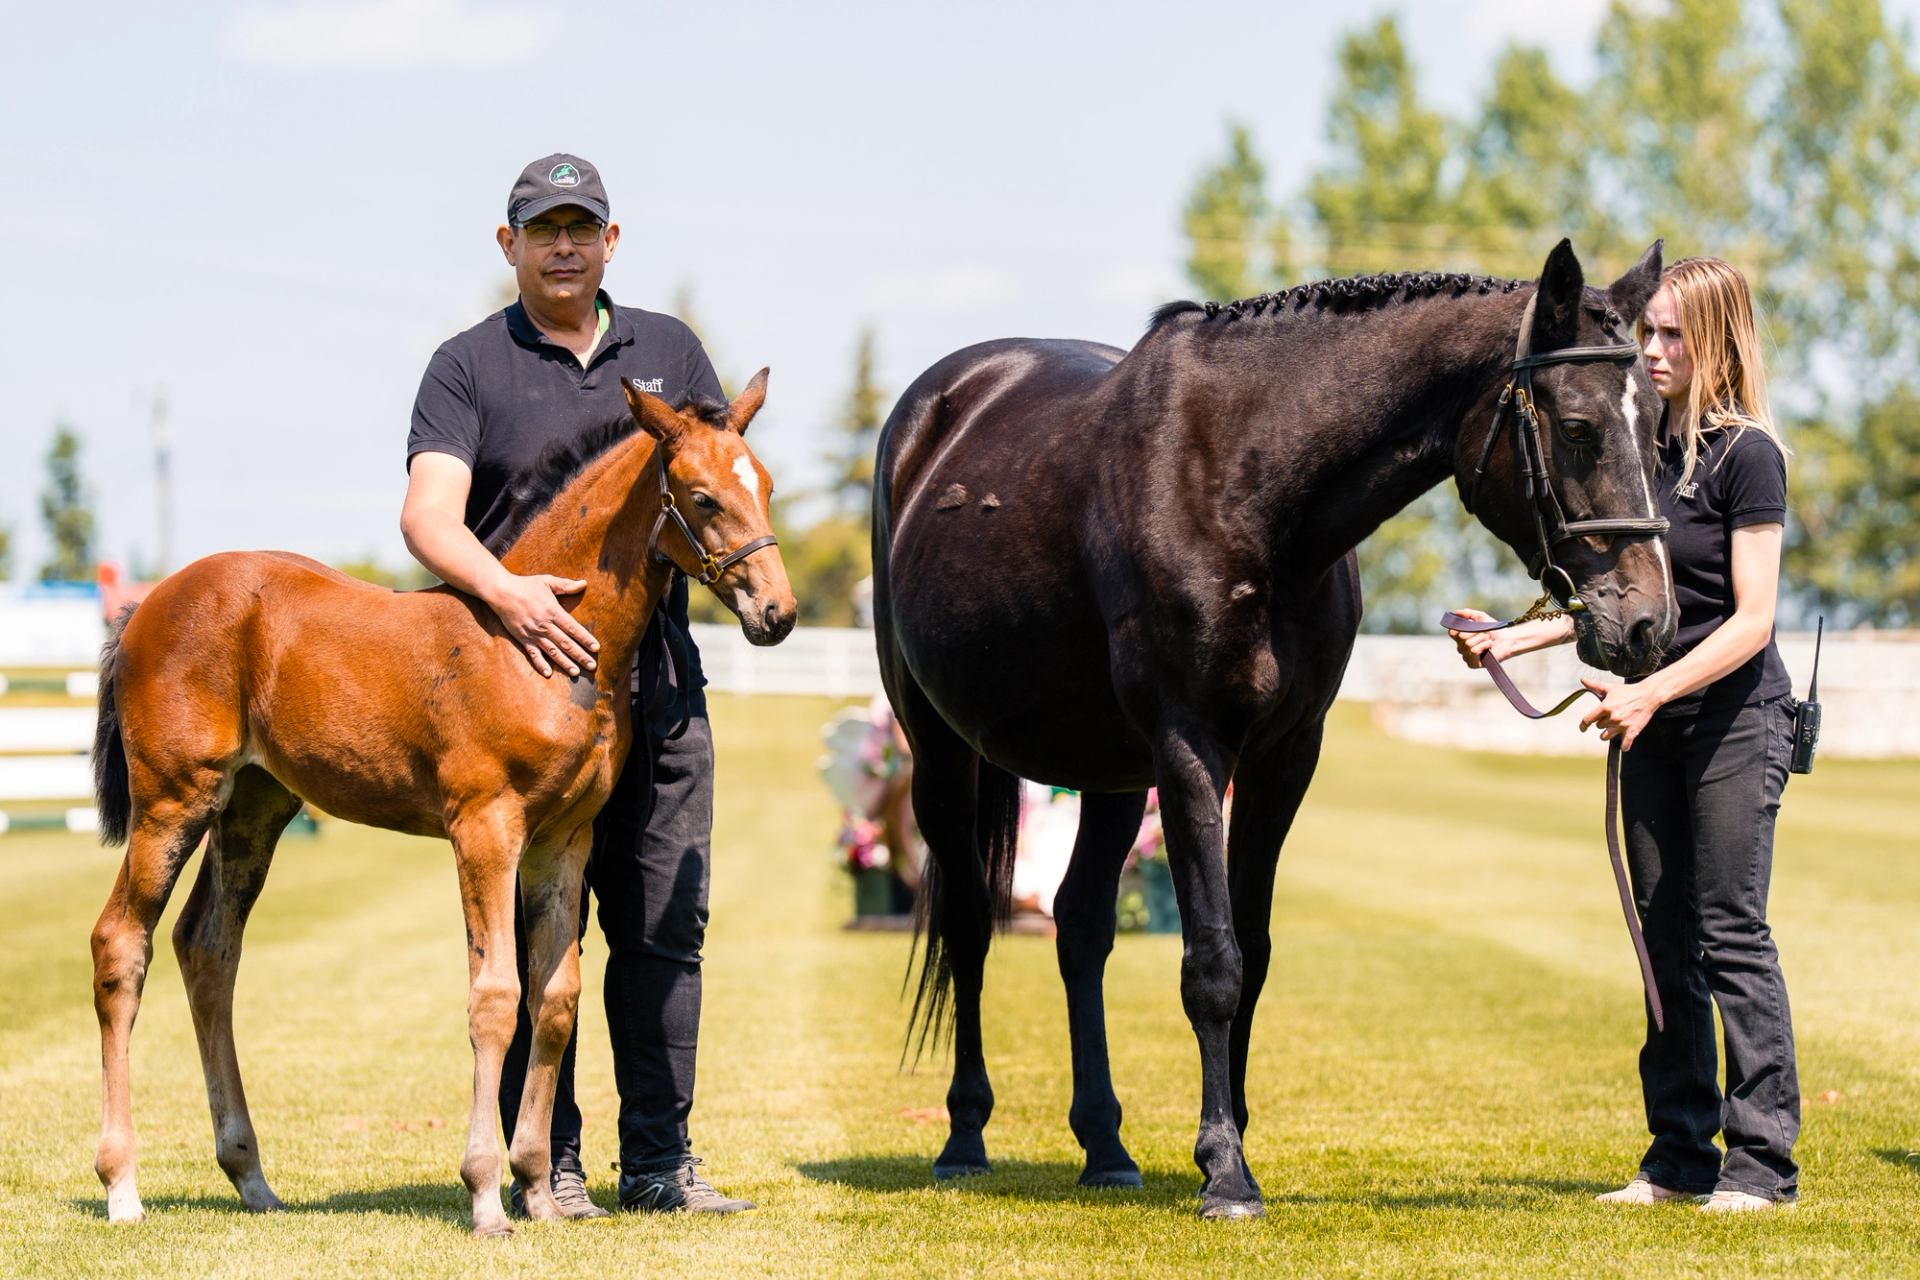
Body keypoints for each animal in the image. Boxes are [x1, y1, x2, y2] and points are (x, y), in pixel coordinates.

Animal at [87, 372, 794, 1237]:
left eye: (765, 486)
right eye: (702, 497)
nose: (778, 614)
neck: (542, 647)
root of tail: (146, 606)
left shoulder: (564, 838)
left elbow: (555, 999)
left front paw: (539, 1190)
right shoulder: (486, 827)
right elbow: (495, 997)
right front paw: (487, 1193)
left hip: (254, 808)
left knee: (208, 949)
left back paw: (251, 1176)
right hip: (173, 801)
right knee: (122, 943)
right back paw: (122, 1185)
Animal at [872, 241, 1676, 1219]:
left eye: (1660, 425)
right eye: (1580, 427)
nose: (1646, 622)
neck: (1245, 483)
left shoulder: (1285, 758)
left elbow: (1249, 954)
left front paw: (1232, 1145)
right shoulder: (1189, 748)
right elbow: (1212, 963)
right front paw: (1224, 1171)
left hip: (1109, 773)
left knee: (1080, 927)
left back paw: (1105, 1145)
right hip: (940, 751)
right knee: (968, 926)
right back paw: (964, 1135)